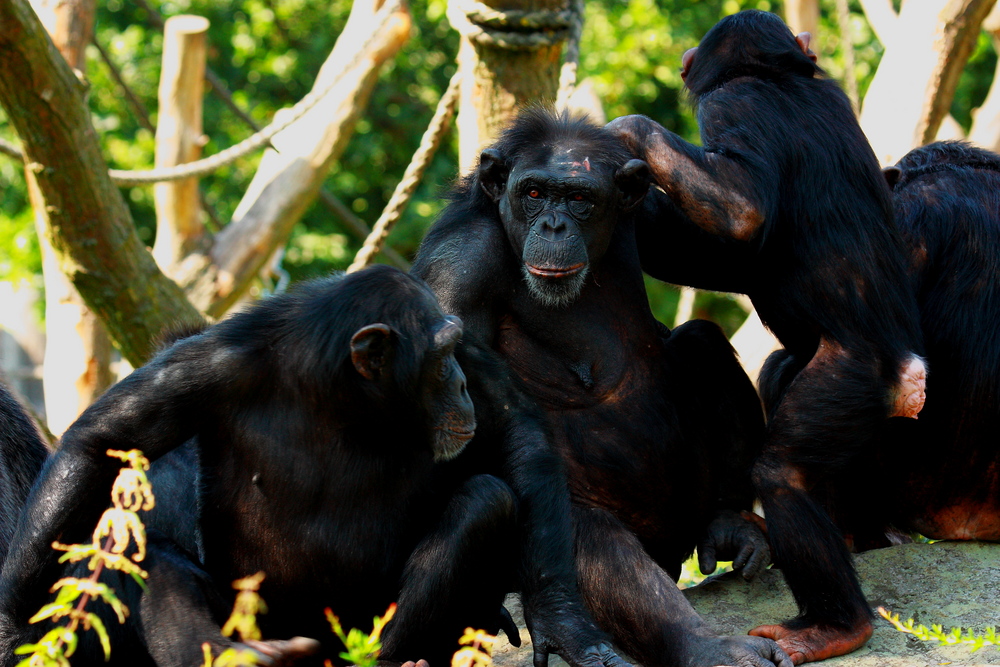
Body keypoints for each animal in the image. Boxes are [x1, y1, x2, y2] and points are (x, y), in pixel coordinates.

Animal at [0, 268, 596, 667]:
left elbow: (517, 432)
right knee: (149, 554)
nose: (460, 383)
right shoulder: (211, 362)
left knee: (486, 501)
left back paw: (393, 658)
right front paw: (14, 620)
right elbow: (105, 440)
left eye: (453, 351)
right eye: (439, 358)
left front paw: (559, 617)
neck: (344, 391)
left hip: (356, 630)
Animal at [410, 109, 792, 667]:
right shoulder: (457, 268)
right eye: (533, 193)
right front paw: (558, 620)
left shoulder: (648, 215)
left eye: (579, 198)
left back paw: (729, 522)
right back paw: (708, 646)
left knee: (700, 341)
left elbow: (734, 248)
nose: (553, 224)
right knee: (591, 536)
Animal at [608, 7, 928, 664]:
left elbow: (741, 210)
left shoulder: (733, 104)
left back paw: (835, 626)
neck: (774, 73)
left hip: (852, 375)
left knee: (783, 474)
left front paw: (628, 134)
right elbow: (728, 254)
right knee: (780, 377)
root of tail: (911, 376)